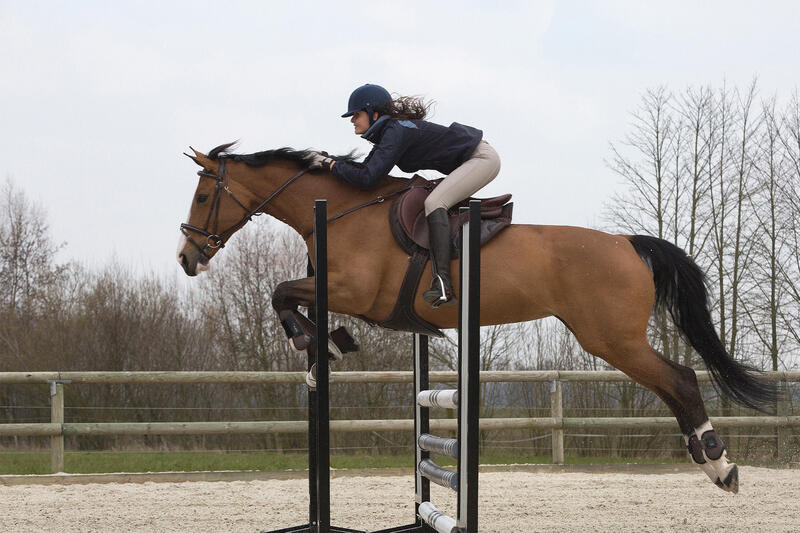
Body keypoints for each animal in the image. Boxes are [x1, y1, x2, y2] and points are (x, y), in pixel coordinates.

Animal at [177, 140, 776, 490]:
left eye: (204, 194)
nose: (187, 258)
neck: (346, 209)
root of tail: (628, 243)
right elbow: (286, 295)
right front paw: (322, 342)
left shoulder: (356, 291)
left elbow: (280, 292)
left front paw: (316, 342)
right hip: (612, 340)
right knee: (673, 384)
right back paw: (706, 459)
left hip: (612, 339)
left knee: (681, 378)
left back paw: (720, 464)